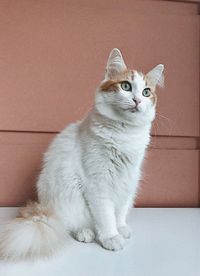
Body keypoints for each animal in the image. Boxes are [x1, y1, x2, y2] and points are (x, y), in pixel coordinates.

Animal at [0, 48, 164, 260]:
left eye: (146, 92)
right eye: (126, 86)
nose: (137, 100)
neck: (124, 133)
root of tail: (45, 208)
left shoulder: (128, 179)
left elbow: (119, 210)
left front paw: (120, 228)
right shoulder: (98, 182)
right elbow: (106, 215)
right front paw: (111, 237)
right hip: (69, 196)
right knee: (69, 225)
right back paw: (85, 232)